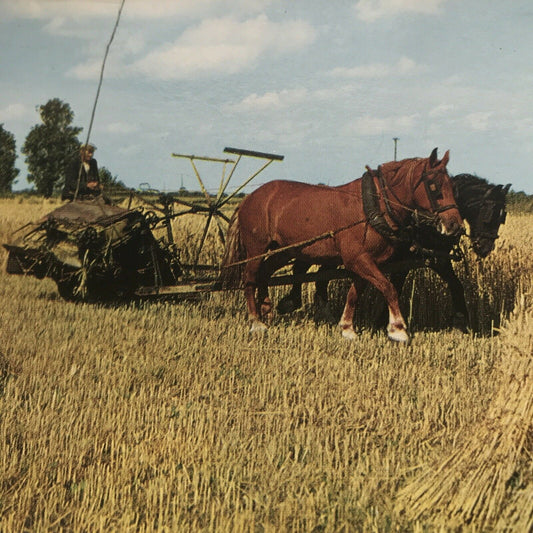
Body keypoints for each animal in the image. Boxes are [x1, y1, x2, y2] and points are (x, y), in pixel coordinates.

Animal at [220, 149, 462, 340]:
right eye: (434, 186)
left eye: (453, 186)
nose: (455, 225)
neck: (374, 205)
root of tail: (249, 198)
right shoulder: (357, 259)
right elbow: (389, 288)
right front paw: (398, 329)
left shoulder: (365, 262)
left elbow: (355, 293)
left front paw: (347, 328)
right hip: (256, 247)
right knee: (250, 278)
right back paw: (256, 322)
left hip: (284, 249)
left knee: (265, 271)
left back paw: (267, 309)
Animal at [276, 172, 510, 330]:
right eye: (489, 214)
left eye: (503, 217)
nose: (485, 247)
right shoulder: (407, 260)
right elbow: (396, 287)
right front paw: (382, 321)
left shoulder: (437, 259)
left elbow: (456, 285)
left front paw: (461, 322)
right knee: (302, 268)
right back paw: (293, 302)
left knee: (317, 275)